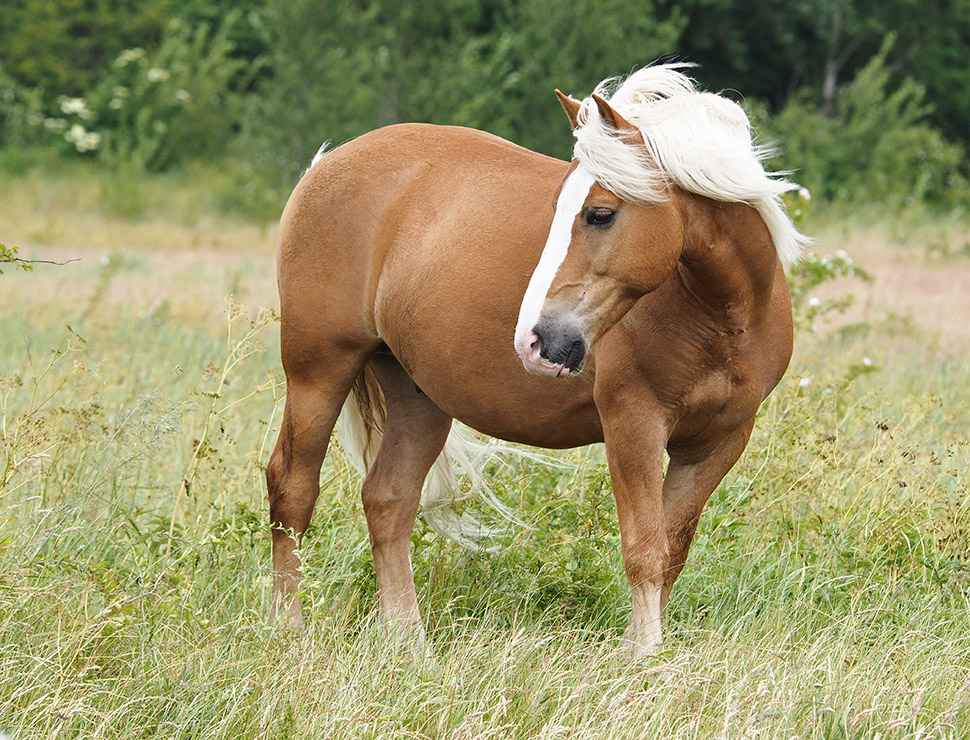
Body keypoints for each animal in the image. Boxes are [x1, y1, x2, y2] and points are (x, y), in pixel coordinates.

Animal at [264, 62, 800, 652]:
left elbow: (671, 552)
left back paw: (409, 644)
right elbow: (644, 550)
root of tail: (325, 164)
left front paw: (643, 649)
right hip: (318, 371)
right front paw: (642, 656)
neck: (723, 315)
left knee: (389, 501)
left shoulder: (718, 443)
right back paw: (289, 631)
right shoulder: (633, 424)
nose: (536, 340)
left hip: (417, 393)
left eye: (600, 213)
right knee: (291, 491)